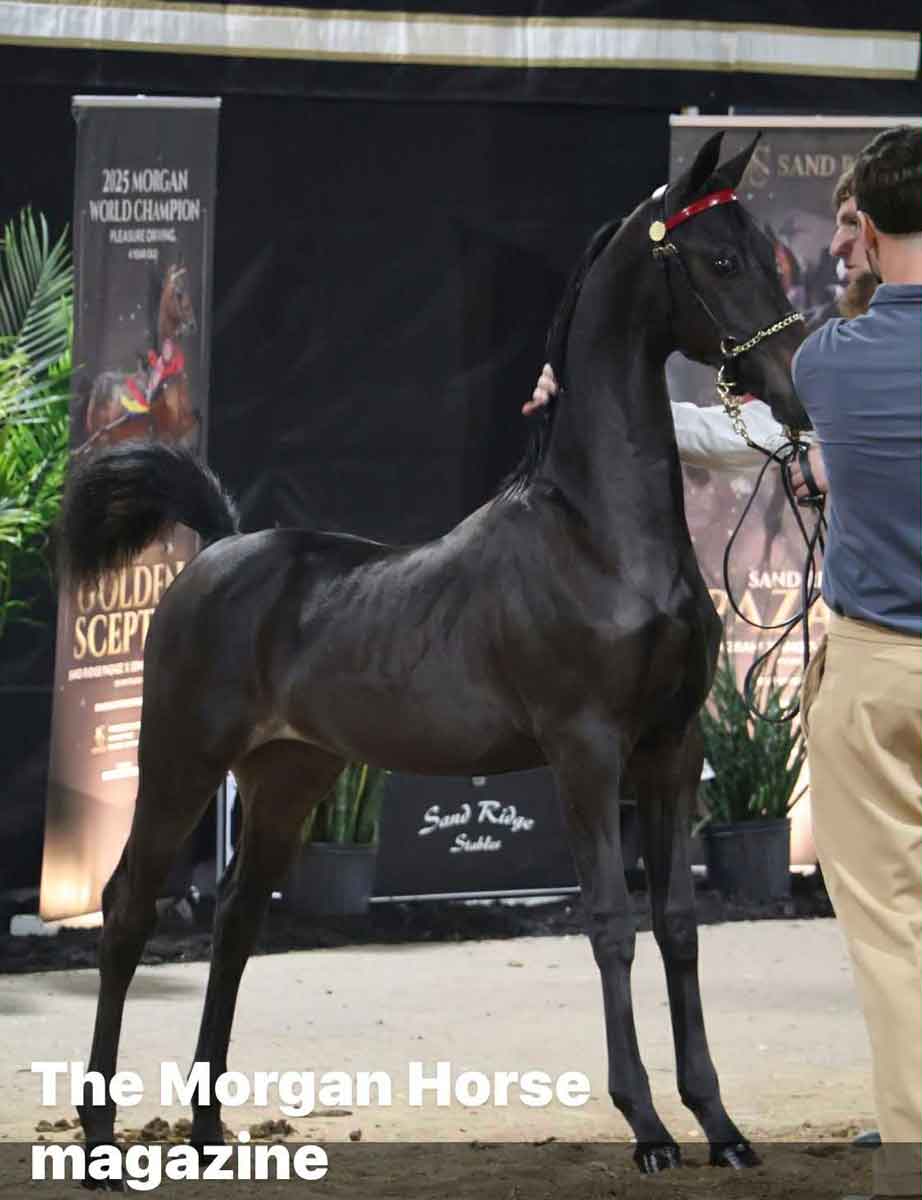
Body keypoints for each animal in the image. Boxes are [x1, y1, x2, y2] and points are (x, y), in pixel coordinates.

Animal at [79, 264, 199, 455]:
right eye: (179, 293)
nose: (192, 325)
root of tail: (96, 386)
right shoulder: (167, 434)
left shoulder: (180, 432)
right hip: (102, 440)